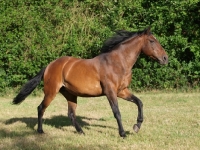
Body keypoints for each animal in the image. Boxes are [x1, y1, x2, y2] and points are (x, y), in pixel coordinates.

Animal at [12, 27, 168, 137]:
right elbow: (117, 112)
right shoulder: (110, 92)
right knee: (41, 108)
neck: (118, 63)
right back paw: (40, 131)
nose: (165, 58)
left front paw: (136, 126)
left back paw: (81, 132)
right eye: (152, 41)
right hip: (51, 92)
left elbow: (139, 102)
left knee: (71, 114)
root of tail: (49, 66)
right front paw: (123, 133)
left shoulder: (122, 91)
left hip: (70, 95)